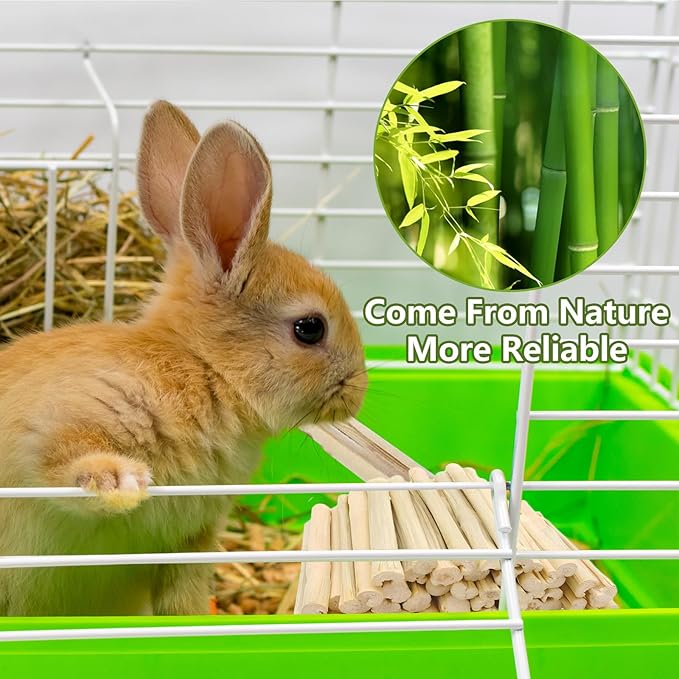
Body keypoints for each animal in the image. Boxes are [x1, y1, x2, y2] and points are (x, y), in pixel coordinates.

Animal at [0, 101, 367, 616]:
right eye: (310, 328)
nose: (357, 391)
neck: (205, 368)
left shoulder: (190, 542)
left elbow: (182, 599)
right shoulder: (55, 423)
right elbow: (59, 459)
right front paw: (120, 481)